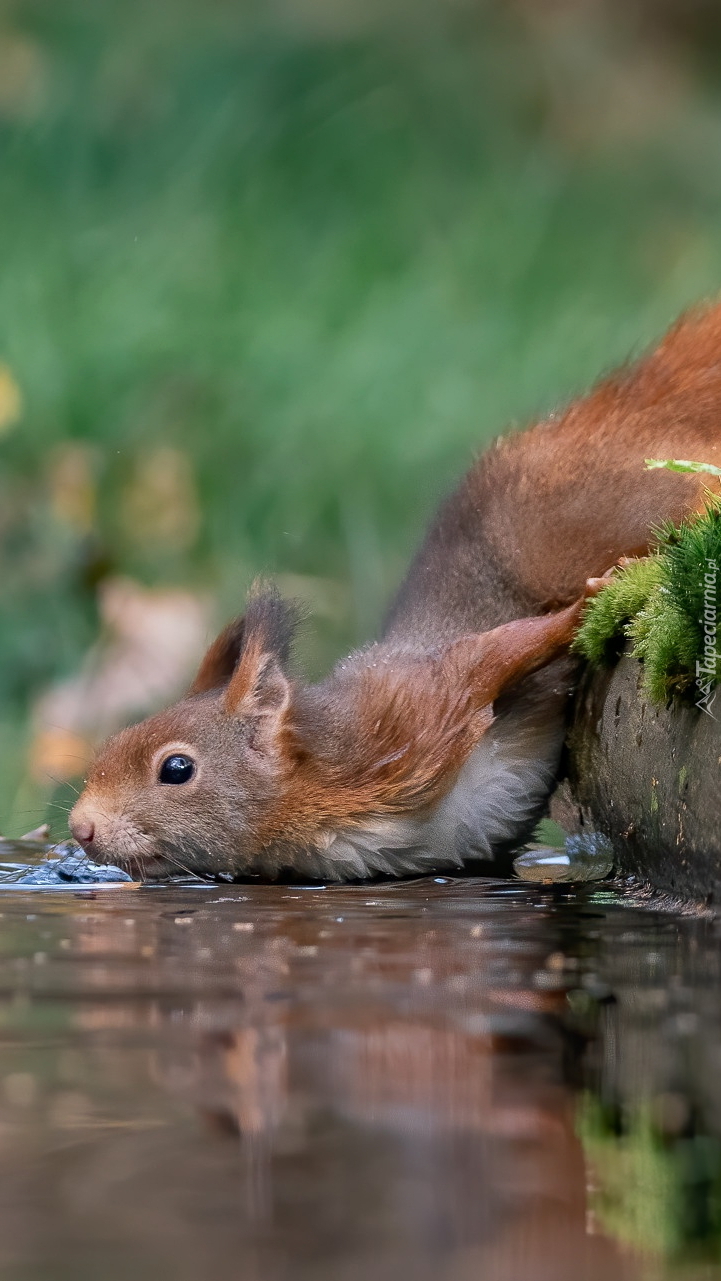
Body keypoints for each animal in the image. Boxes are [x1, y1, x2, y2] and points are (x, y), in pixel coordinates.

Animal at [70, 301, 721, 881]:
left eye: (176, 768)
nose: (80, 828)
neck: (316, 793)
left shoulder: (414, 708)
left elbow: (497, 650)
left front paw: (586, 605)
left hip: (591, 511)